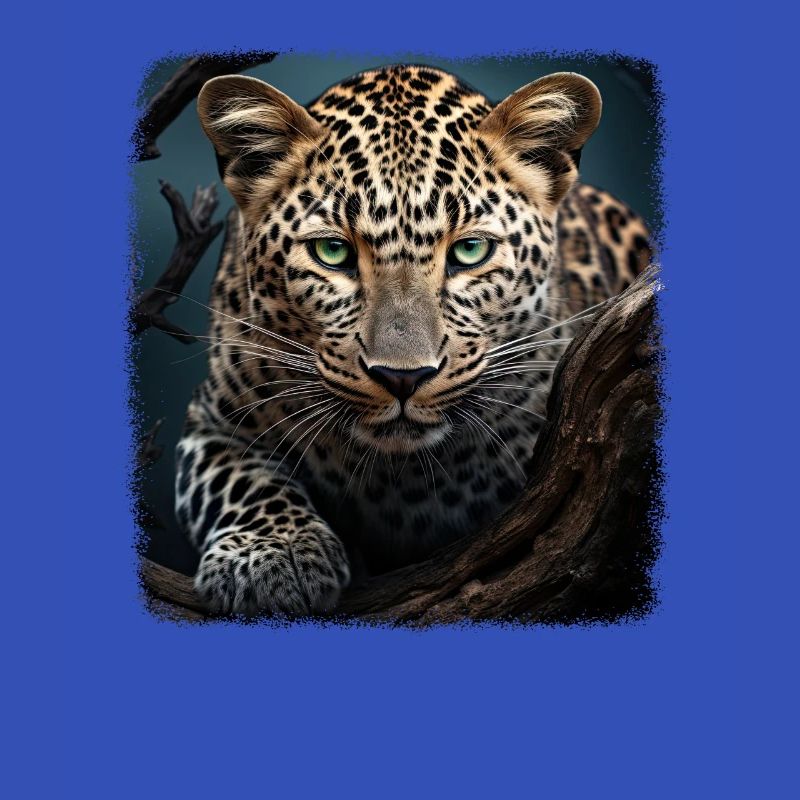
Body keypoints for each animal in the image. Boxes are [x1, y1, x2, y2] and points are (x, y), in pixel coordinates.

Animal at [174, 64, 652, 615]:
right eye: (332, 252)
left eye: (470, 250)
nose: (402, 379)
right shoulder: (211, 422)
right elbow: (241, 481)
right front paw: (272, 553)